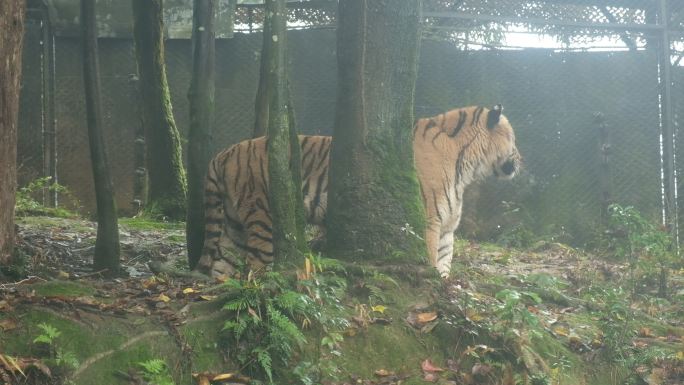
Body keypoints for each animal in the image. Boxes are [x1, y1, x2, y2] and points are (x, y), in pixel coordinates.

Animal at [195, 105, 520, 280]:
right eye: (514, 138)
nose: (520, 159)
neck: (467, 167)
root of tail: (222, 153)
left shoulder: (447, 231)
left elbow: (443, 265)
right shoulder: (430, 221)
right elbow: (429, 260)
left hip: (233, 223)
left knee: (220, 267)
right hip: (263, 216)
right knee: (254, 265)